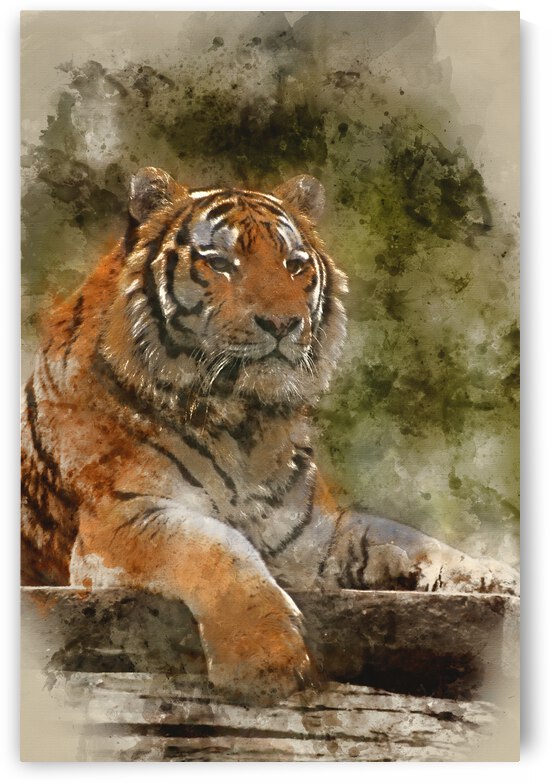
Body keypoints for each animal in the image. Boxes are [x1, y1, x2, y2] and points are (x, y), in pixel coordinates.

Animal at [21, 167, 519, 704]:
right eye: (220, 263)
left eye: (294, 264)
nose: (283, 323)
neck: (245, 426)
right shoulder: (122, 518)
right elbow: (214, 547)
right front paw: (264, 658)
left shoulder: (310, 536)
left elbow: (408, 538)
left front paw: (496, 577)